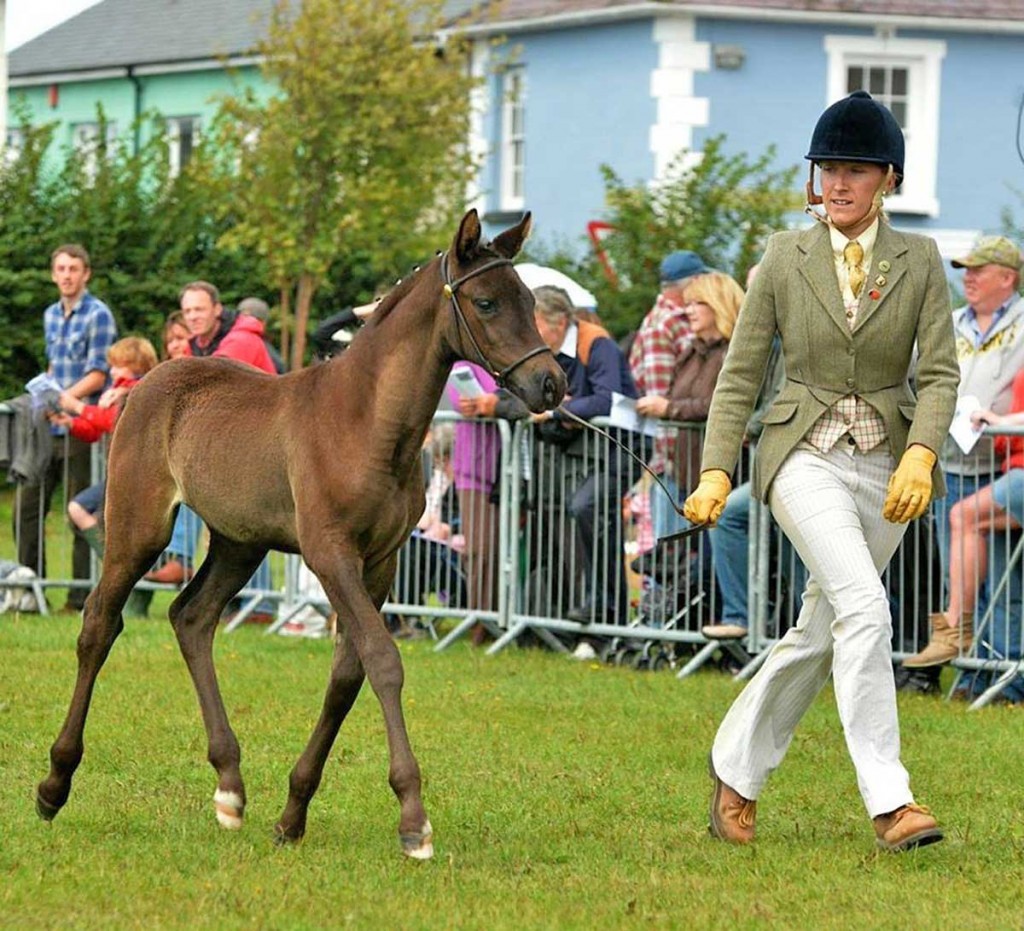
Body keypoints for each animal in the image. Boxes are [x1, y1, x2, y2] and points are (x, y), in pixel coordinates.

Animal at [36, 208, 565, 856]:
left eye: (529, 301)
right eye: (487, 302)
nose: (551, 383)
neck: (368, 423)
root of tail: (145, 383)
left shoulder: (380, 562)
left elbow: (347, 675)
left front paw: (292, 814)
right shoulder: (328, 552)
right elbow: (383, 661)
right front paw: (414, 820)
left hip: (240, 542)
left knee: (191, 618)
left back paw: (230, 788)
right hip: (139, 528)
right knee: (99, 625)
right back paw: (55, 783)